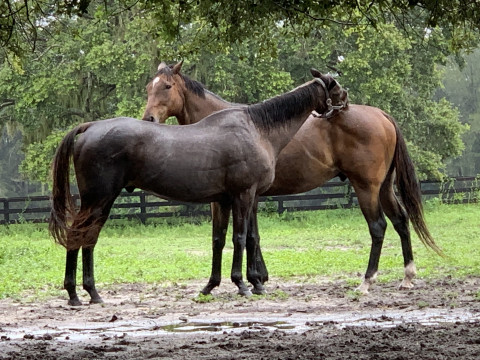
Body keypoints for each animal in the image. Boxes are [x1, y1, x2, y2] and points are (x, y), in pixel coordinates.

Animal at [49, 69, 348, 304]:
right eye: (334, 86)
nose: (346, 102)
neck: (257, 128)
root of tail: (89, 127)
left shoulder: (225, 200)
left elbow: (220, 239)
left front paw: (213, 286)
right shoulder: (244, 195)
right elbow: (240, 238)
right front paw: (243, 284)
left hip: (99, 201)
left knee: (86, 238)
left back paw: (86, 293)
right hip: (98, 199)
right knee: (80, 236)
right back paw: (79, 293)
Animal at [141, 61, 440, 296]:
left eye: (167, 86)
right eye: (148, 88)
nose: (149, 119)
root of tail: (381, 114)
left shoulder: (244, 196)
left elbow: (247, 236)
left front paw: (254, 279)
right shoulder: (247, 196)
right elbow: (249, 236)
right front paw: (257, 278)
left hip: (367, 187)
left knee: (378, 227)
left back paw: (367, 281)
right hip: (384, 188)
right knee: (400, 221)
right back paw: (407, 276)